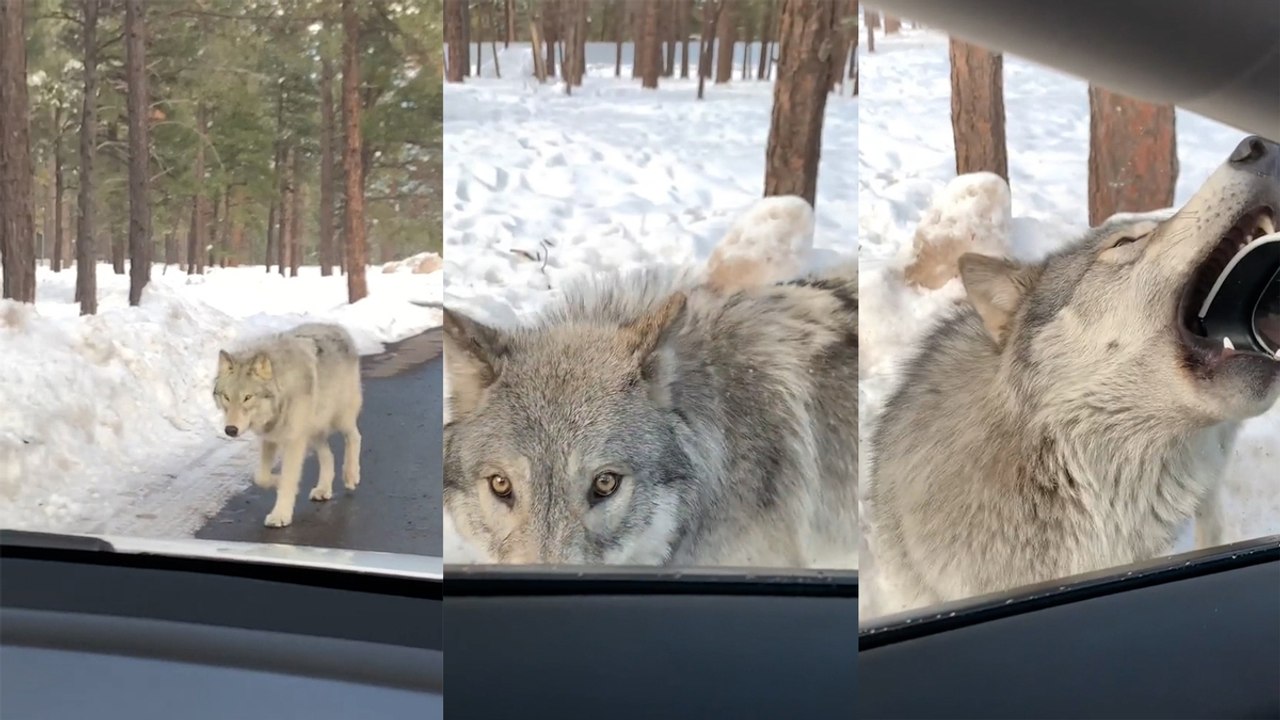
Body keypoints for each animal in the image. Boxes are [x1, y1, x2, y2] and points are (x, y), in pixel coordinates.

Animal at [214, 322, 364, 528]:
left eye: (247, 397)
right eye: (227, 397)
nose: (230, 430)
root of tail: (336, 327)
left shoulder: (294, 441)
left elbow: (288, 478)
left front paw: (280, 515)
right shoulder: (269, 438)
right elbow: (261, 477)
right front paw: (279, 482)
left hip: (340, 419)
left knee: (355, 437)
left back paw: (350, 475)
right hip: (313, 431)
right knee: (328, 455)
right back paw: (323, 489)